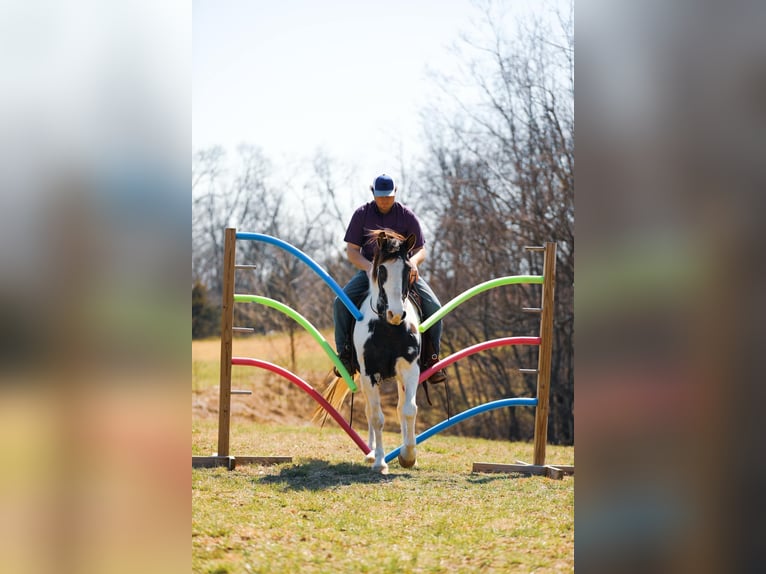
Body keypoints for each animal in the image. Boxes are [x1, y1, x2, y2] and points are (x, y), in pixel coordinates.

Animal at [320, 230, 426, 476]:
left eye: (408, 269)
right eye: (382, 270)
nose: (396, 314)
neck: (388, 328)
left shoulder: (410, 369)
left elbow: (409, 410)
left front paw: (408, 456)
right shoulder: (369, 374)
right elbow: (377, 417)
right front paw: (379, 462)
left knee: (400, 407)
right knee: (370, 411)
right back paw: (370, 453)